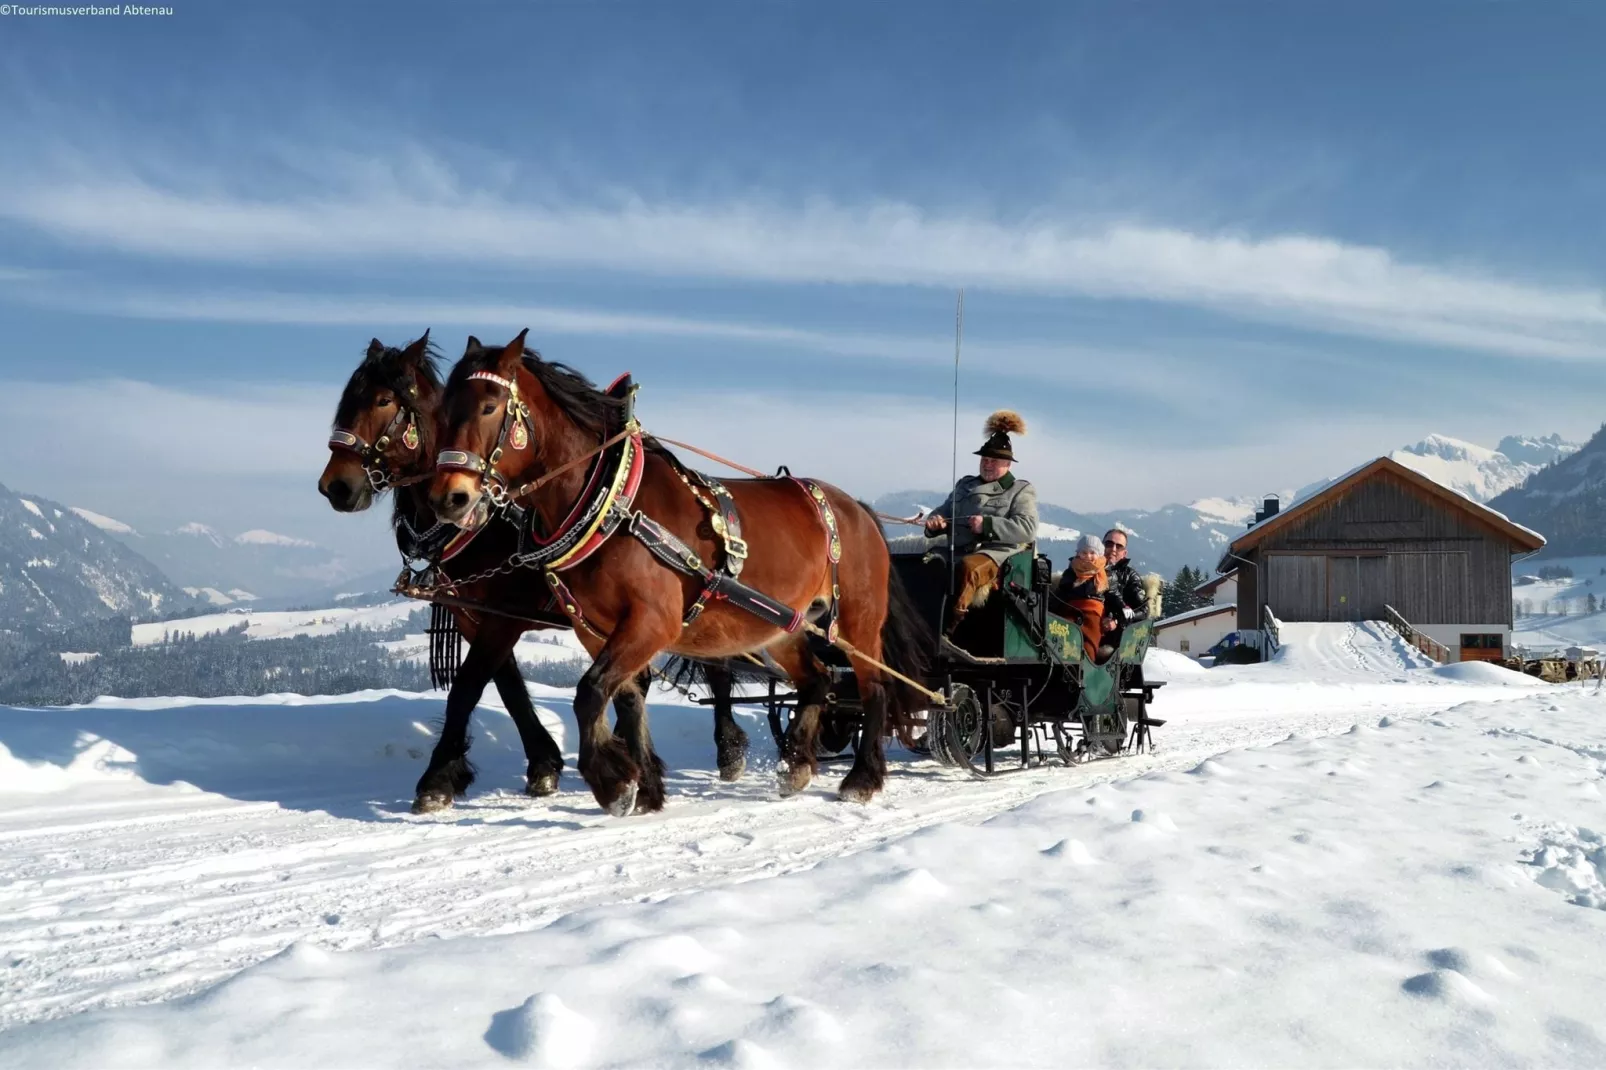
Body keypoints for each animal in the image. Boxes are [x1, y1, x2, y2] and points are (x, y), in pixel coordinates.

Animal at [427, 329, 931, 812]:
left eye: (489, 406)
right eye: (443, 412)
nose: (448, 498)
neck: (613, 504)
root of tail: (857, 509)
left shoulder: (653, 620)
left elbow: (589, 692)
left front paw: (612, 782)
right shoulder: (594, 628)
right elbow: (625, 697)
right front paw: (646, 786)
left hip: (858, 620)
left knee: (874, 687)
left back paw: (861, 778)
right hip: (782, 625)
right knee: (818, 680)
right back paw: (796, 765)